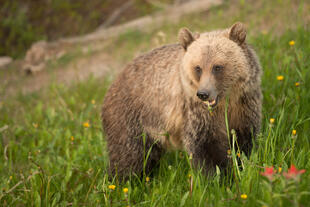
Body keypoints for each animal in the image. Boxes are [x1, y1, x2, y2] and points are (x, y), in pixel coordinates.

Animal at [101, 22, 262, 178]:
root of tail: (111, 86)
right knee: (129, 156)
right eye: (198, 68)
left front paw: (241, 166)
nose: (203, 94)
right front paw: (217, 176)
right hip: (131, 120)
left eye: (217, 67)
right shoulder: (197, 114)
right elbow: (205, 148)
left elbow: (243, 140)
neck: (226, 102)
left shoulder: (244, 105)